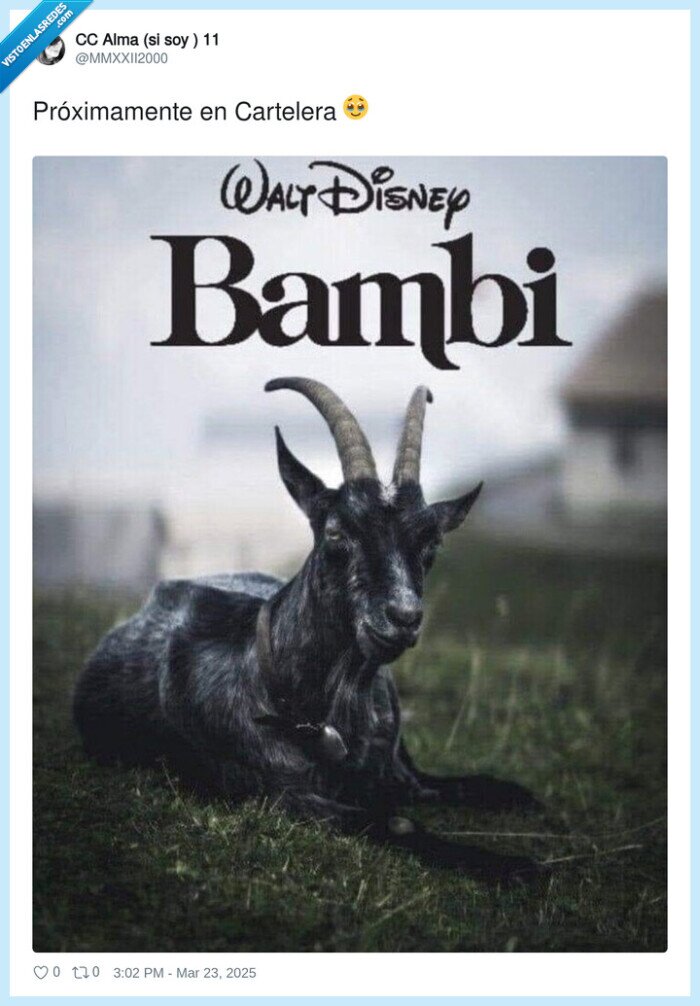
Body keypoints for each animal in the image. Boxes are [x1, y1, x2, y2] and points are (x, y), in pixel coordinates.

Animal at [74, 378, 543, 881]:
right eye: (337, 532)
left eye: (431, 543)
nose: (403, 616)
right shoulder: (276, 793)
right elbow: (396, 822)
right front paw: (515, 866)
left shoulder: (394, 772)